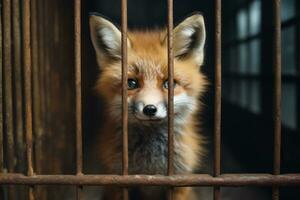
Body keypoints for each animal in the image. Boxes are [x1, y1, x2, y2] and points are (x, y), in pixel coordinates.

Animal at [88, 12, 207, 200]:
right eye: (131, 83)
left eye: (169, 83)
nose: (150, 109)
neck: (150, 166)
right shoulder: (118, 182)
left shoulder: (179, 181)